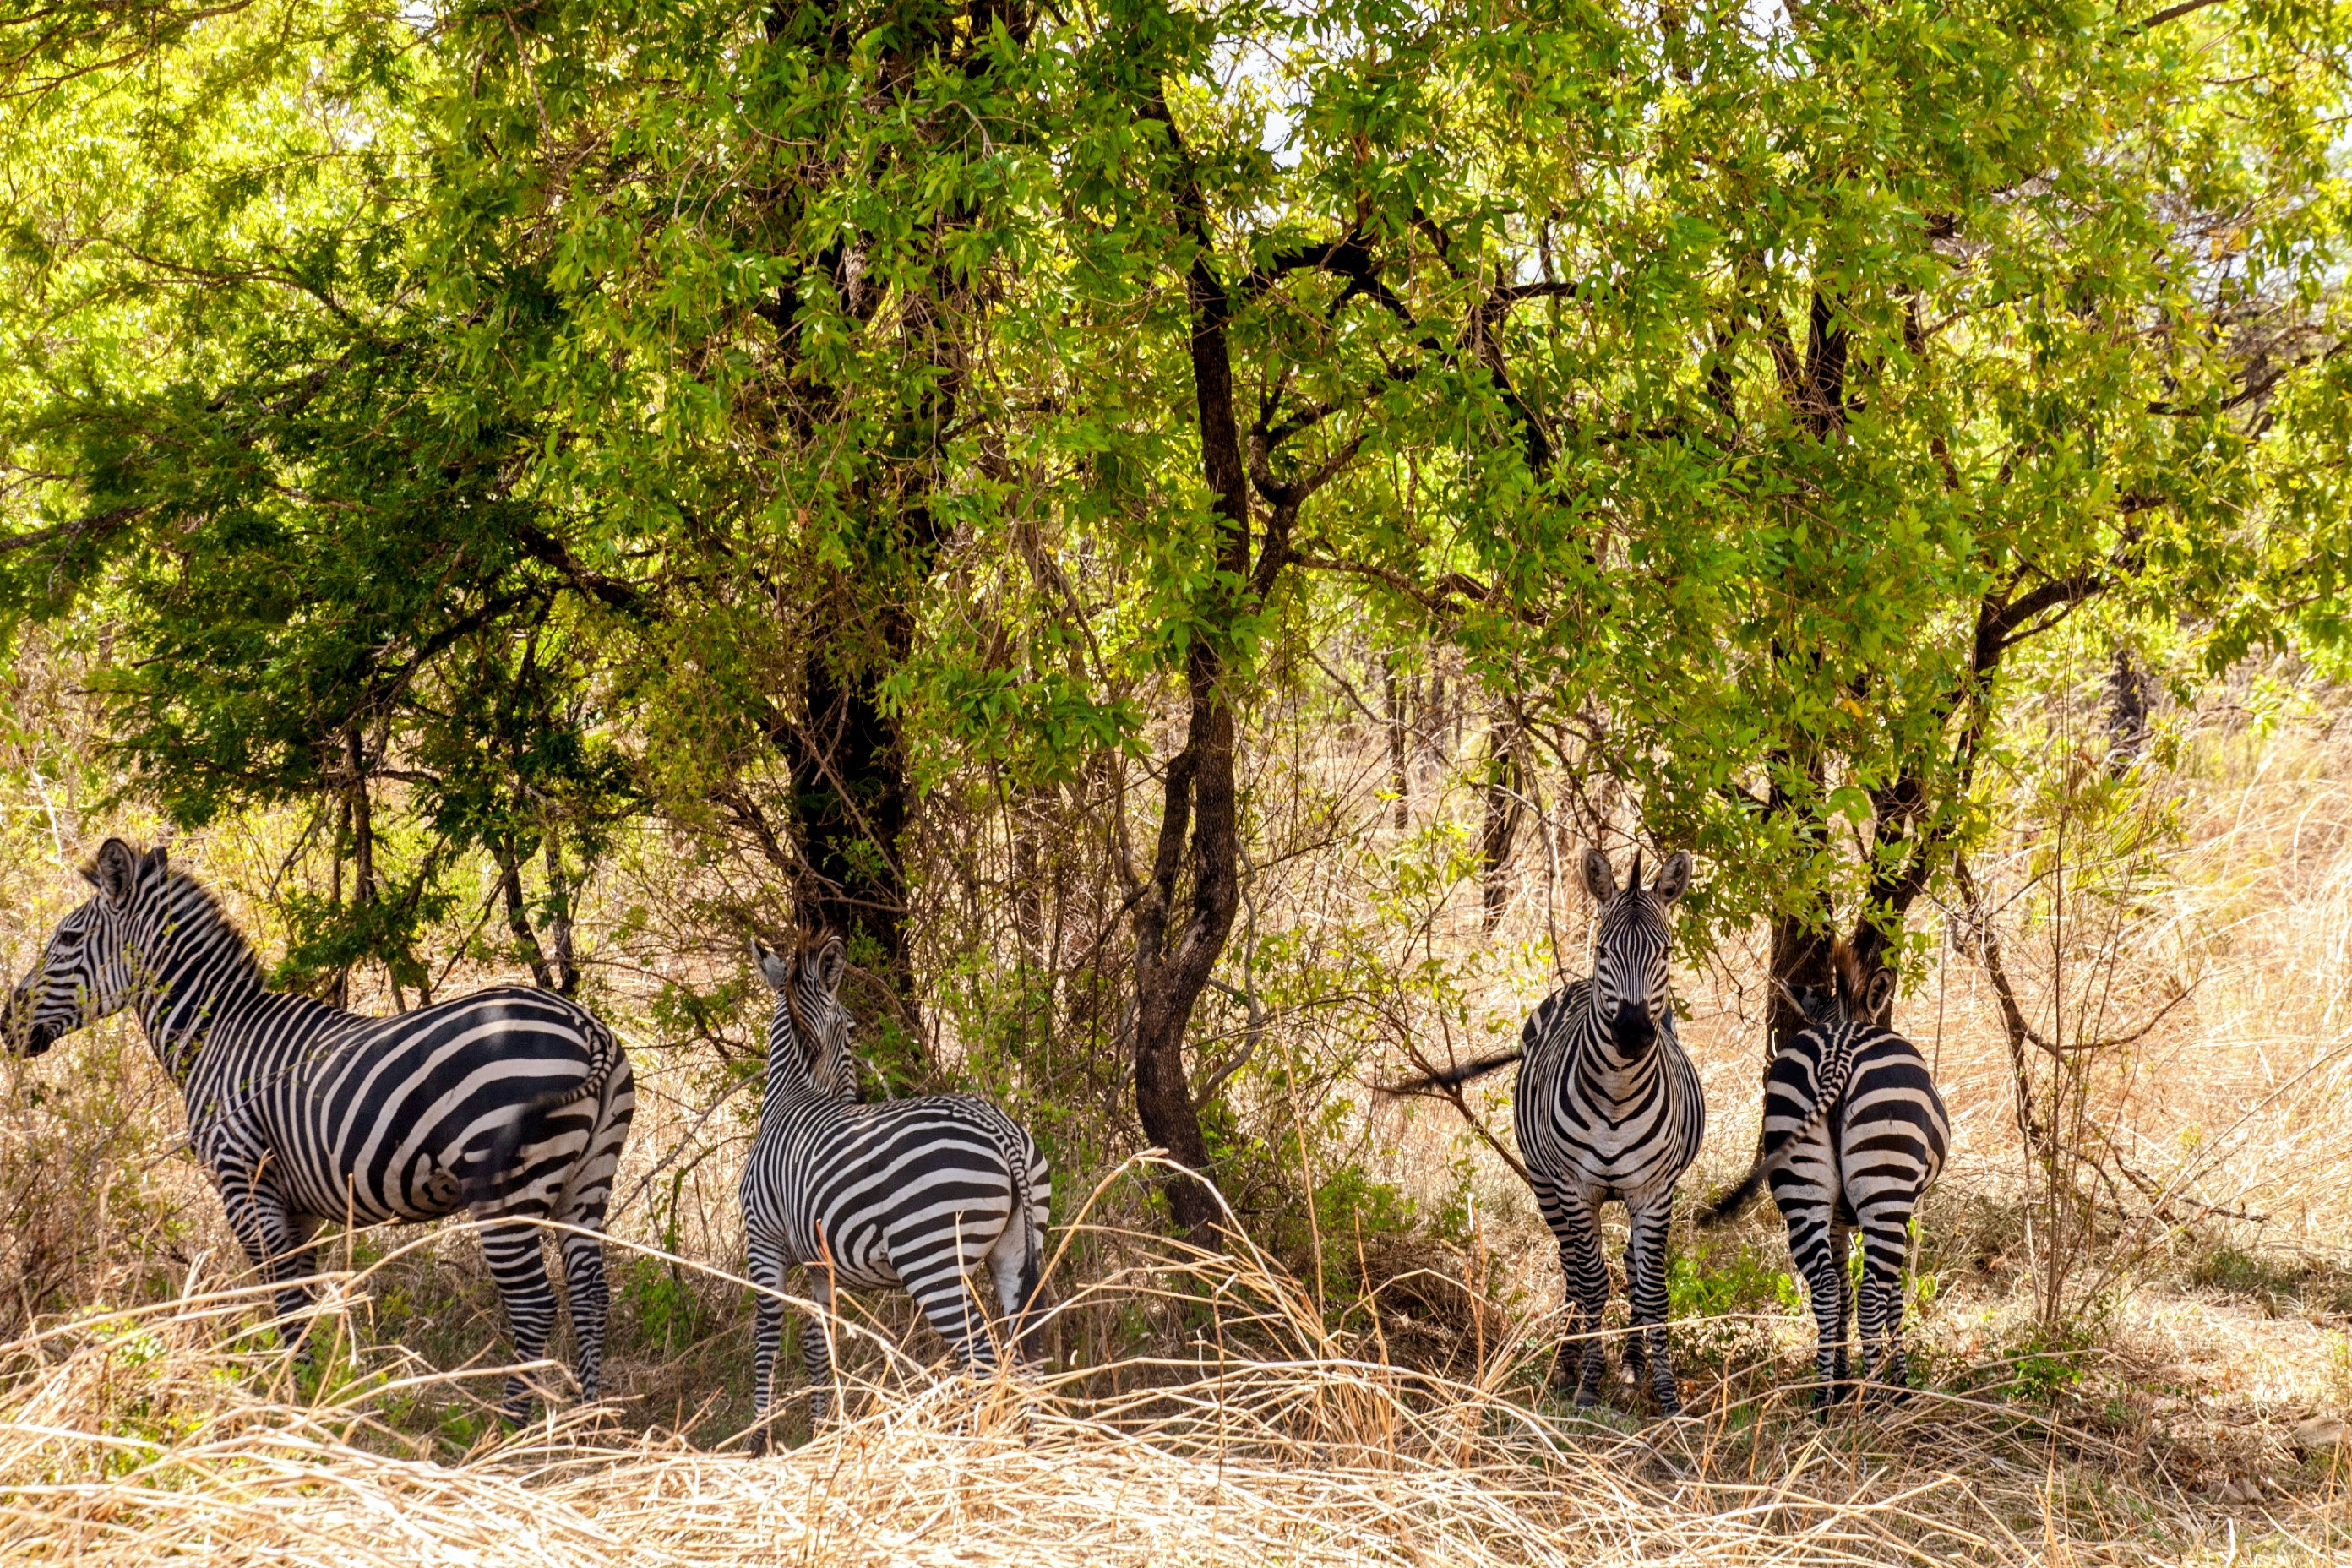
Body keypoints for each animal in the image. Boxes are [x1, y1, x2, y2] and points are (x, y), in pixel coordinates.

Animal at [0, 840, 634, 1420]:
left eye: (67, 940)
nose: (7, 1025)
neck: (216, 1034)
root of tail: (584, 1023)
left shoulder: (243, 1179)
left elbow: (282, 1297)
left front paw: (292, 1411)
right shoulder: (297, 1201)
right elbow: (302, 1301)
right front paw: (310, 1402)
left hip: (505, 1187)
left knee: (534, 1305)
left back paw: (509, 1437)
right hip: (587, 1180)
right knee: (591, 1294)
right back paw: (586, 1430)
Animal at [740, 930, 1048, 1446]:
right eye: (851, 1030)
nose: (855, 1100)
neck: (790, 1096)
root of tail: (999, 1128)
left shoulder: (763, 1240)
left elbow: (766, 1339)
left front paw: (758, 1443)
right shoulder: (819, 1261)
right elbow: (817, 1343)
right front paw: (824, 1433)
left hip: (932, 1260)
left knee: (983, 1361)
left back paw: (970, 1448)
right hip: (1019, 1248)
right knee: (1026, 1359)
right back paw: (1034, 1449)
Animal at [1391, 847, 1705, 1415]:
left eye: (1666, 951)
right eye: (1603, 949)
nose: (1631, 1035)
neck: (1618, 1095)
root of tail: (1573, 985)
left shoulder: (1654, 1190)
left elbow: (1652, 1290)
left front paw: (1666, 1395)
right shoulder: (1574, 1186)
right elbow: (1593, 1282)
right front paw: (1587, 1385)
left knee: (1626, 1266)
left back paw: (1630, 1367)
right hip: (1544, 1182)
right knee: (1573, 1266)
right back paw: (1567, 1361)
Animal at [1700, 939, 1949, 1406]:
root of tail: (1838, 1054)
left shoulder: (1837, 1219)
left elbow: (1843, 1289)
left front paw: (1842, 1377)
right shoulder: (1902, 1208)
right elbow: (1891, 1297)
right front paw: (1899, 1384)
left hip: (1801, 1186)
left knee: (1828, 1289)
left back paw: (1823, 1397)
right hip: (1886, 1188)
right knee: (1871, 1295)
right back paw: (1875, 1401)